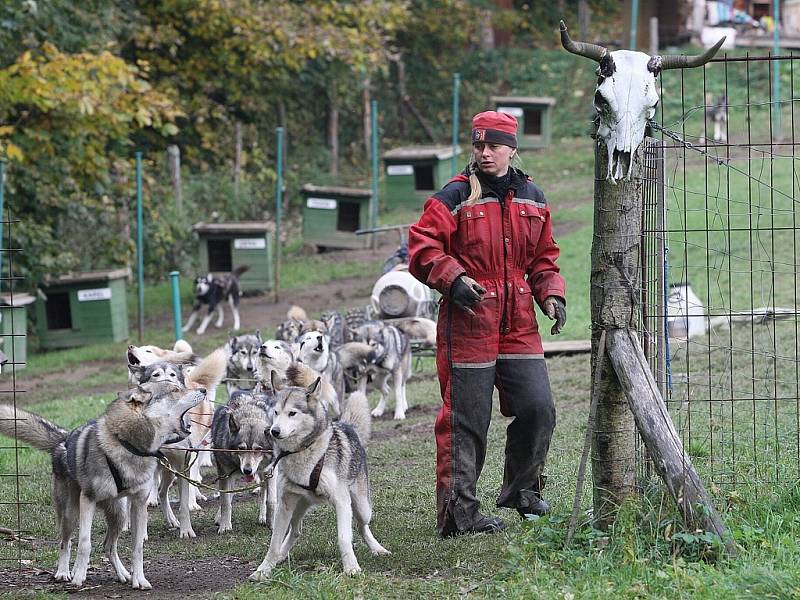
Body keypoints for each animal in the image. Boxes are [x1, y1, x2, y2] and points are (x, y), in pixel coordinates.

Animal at [0, 384, 205, 584]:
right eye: (175, 390)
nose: (203, 389)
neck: (127, 445)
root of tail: (64, 440)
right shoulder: (88, 499)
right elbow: (84, 543)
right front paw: (79, 577)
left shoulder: (139, 503)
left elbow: (137, 547)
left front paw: (139, 579)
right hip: (71, 513)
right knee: (66, 542)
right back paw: (65, 572)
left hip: (119, 515)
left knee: (108, 545)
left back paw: (122, 574)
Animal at [211, 390, 276, 536]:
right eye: (241, 449)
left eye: (258, 450)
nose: (247, 471)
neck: (250, 414)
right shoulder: (224, 474)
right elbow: (225, 501)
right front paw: (225, 525)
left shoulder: (270, 471)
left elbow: (271, 501)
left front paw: (271, 523)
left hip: (263, 473)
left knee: (263, 491)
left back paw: (262, 517)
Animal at [250, 376, 388, 580]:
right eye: (275, 412)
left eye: (292, 413)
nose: (273, 431)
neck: (304, 452)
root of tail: (346, 425)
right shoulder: (285, 503)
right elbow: (274, 542)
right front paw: (264, 569)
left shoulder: (341, 501)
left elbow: (344, 537)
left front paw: (351, 567)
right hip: (299, 506)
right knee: (295, 531)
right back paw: (282, 555)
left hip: (362, 506)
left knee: (362, 526)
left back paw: (377, 548)